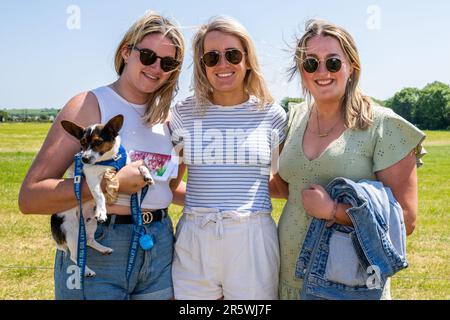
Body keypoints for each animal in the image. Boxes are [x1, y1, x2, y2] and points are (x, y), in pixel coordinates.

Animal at [51, 114, 155, 276]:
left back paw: (103, 249)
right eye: (82, 143)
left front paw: (147, 175)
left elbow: (141, 166)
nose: (84, 159)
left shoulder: (128, 165)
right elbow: (99, 194)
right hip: (72, 231)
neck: (109, 160)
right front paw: (102, 210)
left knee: (89, 241)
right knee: (74, 256)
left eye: (98, 142)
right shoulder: (92, 179)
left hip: (90, 224)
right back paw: (86, 271)